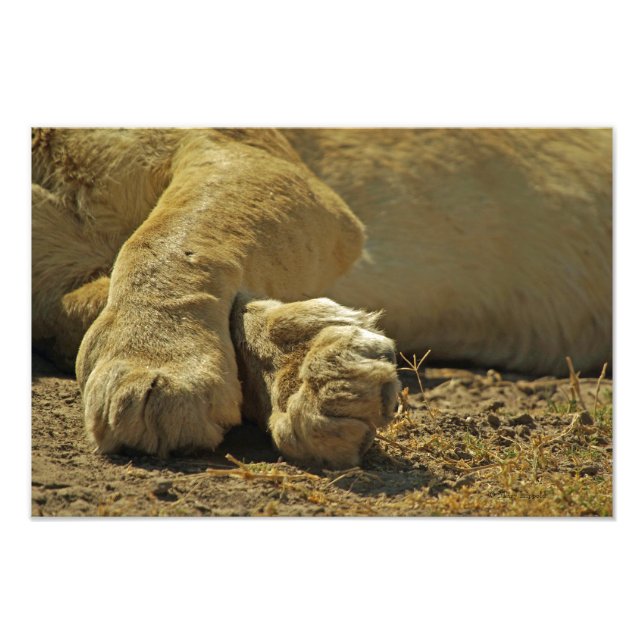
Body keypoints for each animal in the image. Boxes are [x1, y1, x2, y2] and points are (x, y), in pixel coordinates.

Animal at [31, 128, 612, 468]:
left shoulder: (252, 154)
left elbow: (170, 238)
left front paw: (158, 365)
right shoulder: (50, 282)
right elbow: (80, 312)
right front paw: (313, 369)